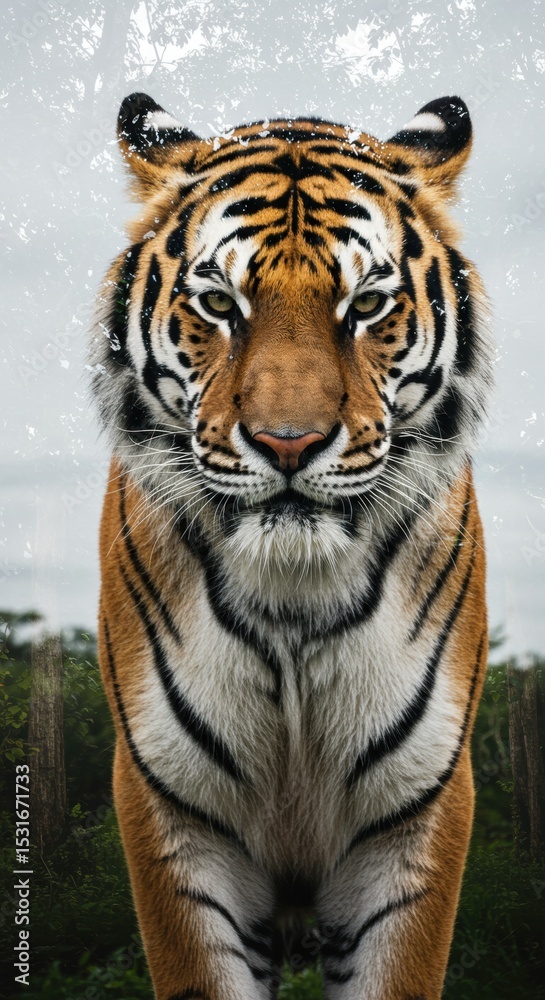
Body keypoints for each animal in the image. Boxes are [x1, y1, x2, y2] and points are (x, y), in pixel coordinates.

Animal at [91, 91, 493, 1000]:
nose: (287, 443)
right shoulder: (173, 811)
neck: (292, 600)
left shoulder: (416, 811)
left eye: (367, 307)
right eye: (218, 306)